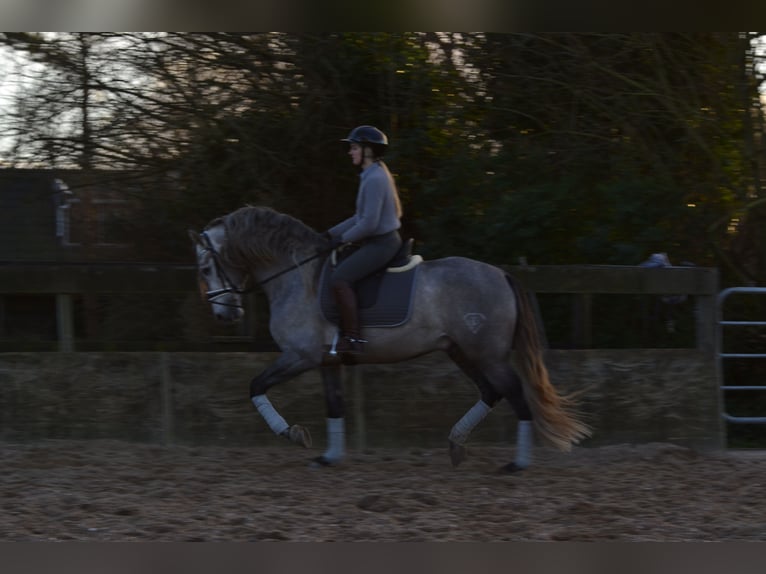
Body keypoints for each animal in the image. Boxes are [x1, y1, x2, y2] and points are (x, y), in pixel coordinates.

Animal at [189, 207, 592, 472]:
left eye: (206, 268)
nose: (225, 316)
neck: (297, 275)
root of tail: (502, 275)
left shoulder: (299, 356)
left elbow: (255, 385)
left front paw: (292, 433)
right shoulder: (326, 361)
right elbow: (335, 405)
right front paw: (328, 456)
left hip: (487, 355)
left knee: (516, 395)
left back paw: (517, 463)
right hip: (462, 352)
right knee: (491, 393)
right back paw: (456, 445)